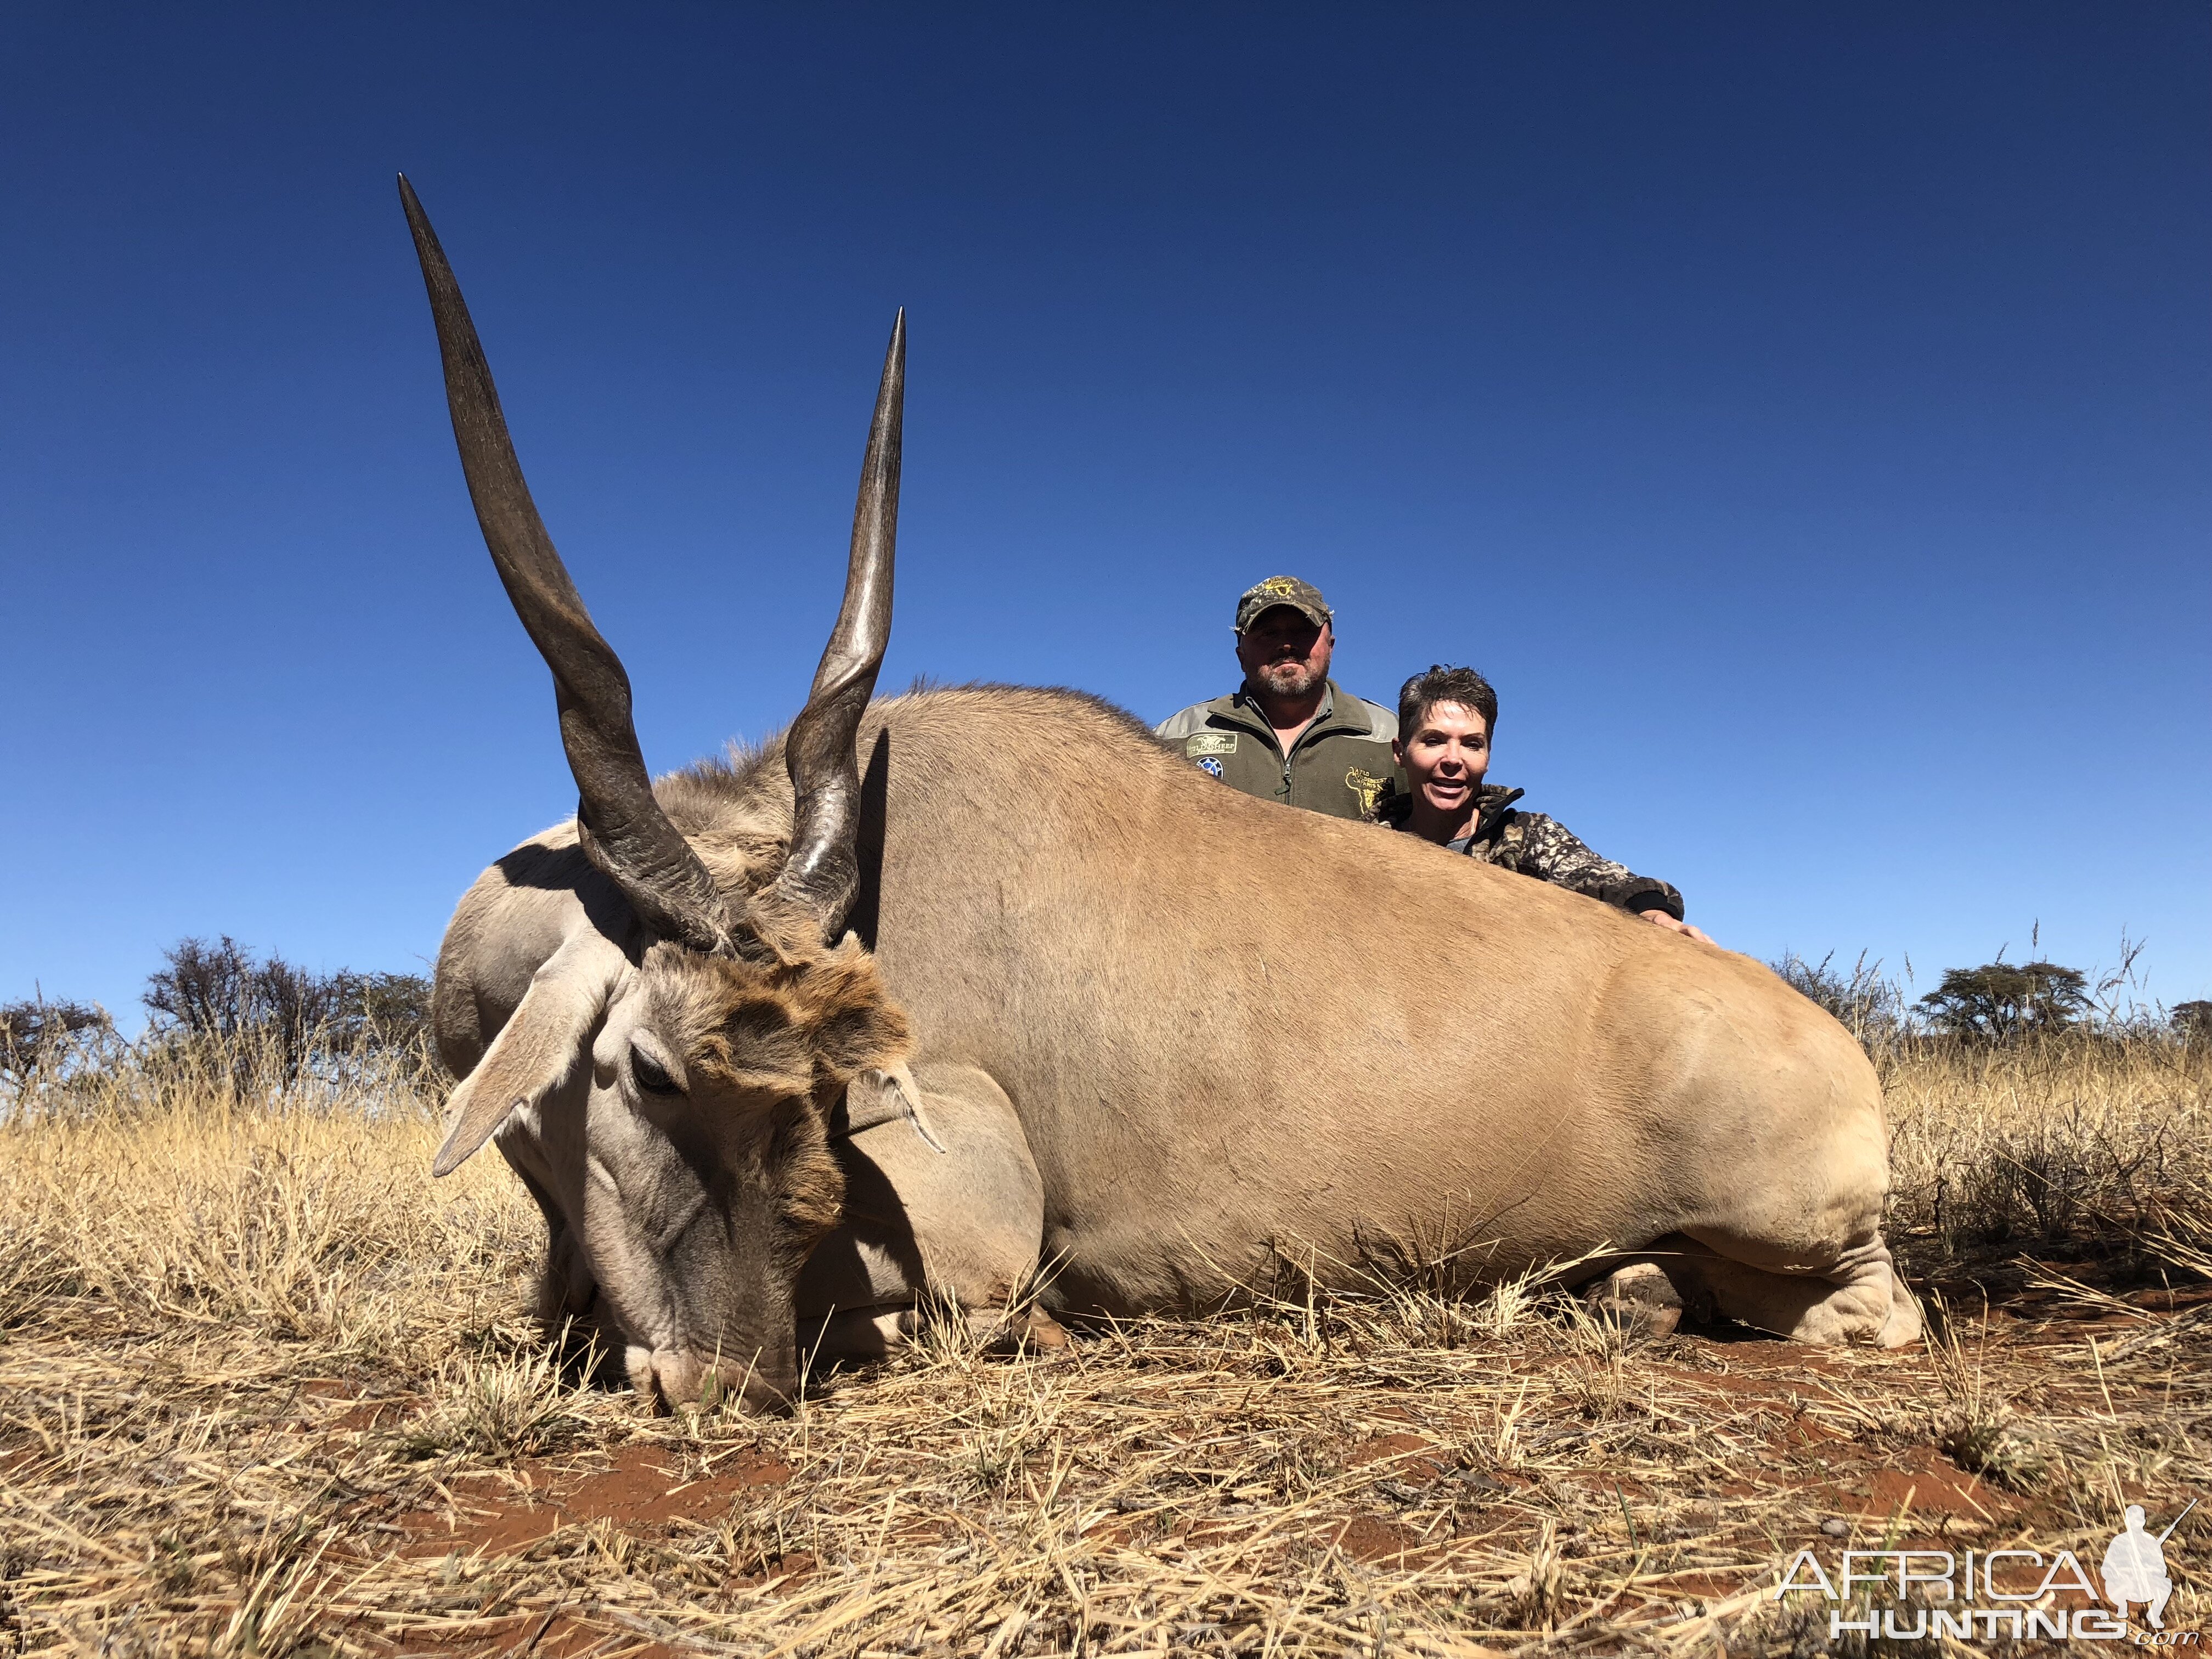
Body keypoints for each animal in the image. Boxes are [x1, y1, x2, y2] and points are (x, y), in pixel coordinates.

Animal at [407, 188, 1928, 1424]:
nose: (728, 1383)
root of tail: (1836, 1049)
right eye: (652, 1076)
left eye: (817, 1107)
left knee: (1867, 1315)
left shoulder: (968, 1217)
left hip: (1805, 1242)